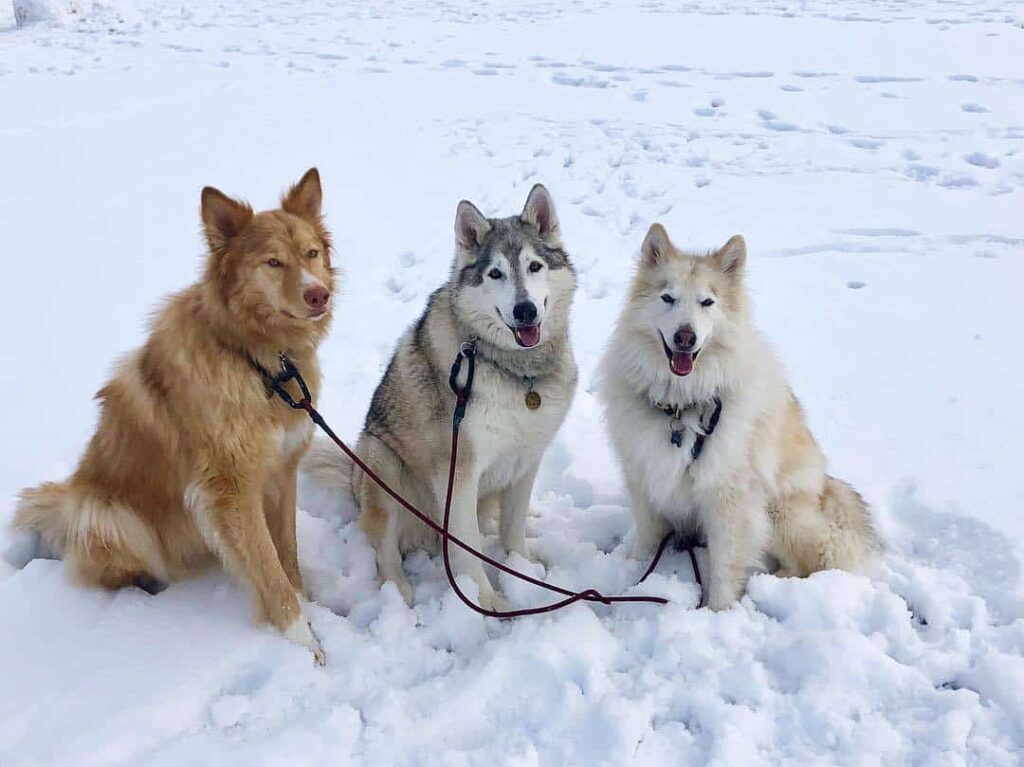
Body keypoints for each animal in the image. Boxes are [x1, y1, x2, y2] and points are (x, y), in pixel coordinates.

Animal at [14, 168, 333, 663]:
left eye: (311, 253)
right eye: (273, 263)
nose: (318, 294)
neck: (258, 359)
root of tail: (68, 501)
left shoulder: (281, 469)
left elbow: (286, 552)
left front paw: (307, 603)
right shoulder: (230, 489)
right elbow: (267, 565)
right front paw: (302, 640)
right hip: (109, 515)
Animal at [303, 185, 577, 610]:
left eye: (534, 266)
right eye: (495, 273)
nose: (525, 310)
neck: (514, 369)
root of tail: (353, 481)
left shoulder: (526, 458)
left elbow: (512, 530)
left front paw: (524, 571)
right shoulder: (459, 471)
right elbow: (467, 546)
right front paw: (487, 601)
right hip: (383, 464)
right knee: (385, 550)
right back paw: (398, 592)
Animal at [598, 223, 876, 610]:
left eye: (707, 302)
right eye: (667, 298)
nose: (685, 337)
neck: (682, 402)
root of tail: (827, 486)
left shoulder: (729, 498)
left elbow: (726, 564)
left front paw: (718, 611)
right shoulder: (643, 477)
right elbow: (647, 539)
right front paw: (634, 576)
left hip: (779, 511)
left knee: (808, 563)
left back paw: (770, 584)